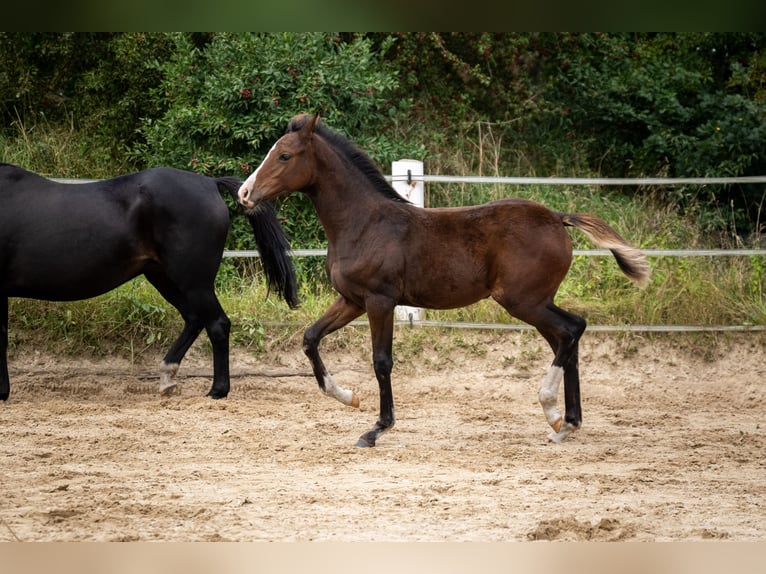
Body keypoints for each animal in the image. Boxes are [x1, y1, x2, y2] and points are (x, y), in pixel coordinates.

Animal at [1, 163, 299, 402]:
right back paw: (168, 378)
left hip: (193, 282)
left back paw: (217, 390)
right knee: (194, 320)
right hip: (163, 277)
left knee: (217, 324)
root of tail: (208, 183)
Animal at [238, 113, 651, 447]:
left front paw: (377, 429)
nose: (244, 193)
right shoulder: (352, 300)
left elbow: (381, 361)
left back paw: (552, 412)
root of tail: (557, 219)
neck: (364, 223)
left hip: (523, 301)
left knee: (569, 332)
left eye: (284, 155)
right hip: (537, 302)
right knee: (571, 334)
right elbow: (311, 338)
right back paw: (568, 424)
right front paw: (347, 396)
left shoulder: (380, 300)